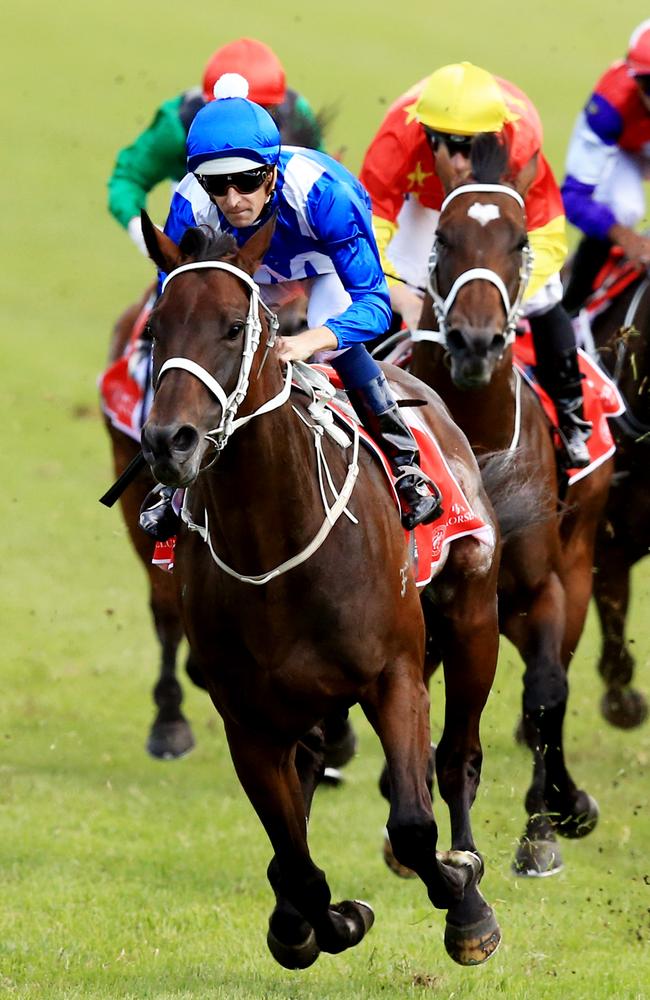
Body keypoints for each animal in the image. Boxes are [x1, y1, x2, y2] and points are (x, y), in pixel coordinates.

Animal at [135, 211, 502, 968]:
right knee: (307, 792)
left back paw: (468, 894)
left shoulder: (395, 674)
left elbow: (415, 824)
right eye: (156, 327)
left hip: (472, 618)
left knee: (456, 758)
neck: (275, 547)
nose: (169, 442)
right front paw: (323, 922)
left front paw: (462, 894)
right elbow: (297, 863)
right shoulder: (248, 719)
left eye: (233, 327)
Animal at [408, 135, 612, 876]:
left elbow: (547, 692)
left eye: (519, 239)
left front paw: (547, 825)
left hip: (580, 563)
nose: (474, 342)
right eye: (443, 236)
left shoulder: (536, 588)